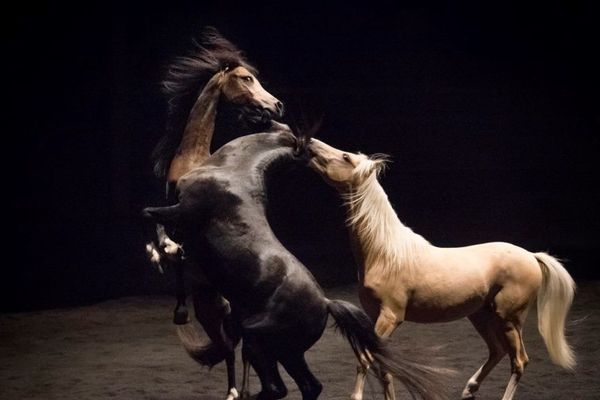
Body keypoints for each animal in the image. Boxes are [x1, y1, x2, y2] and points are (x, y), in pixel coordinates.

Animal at [141, 128, 450, 400]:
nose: (318, 148)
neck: (232, 172)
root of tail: (326, 303)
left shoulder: (181, 212)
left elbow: (150, 215)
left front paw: (161, 254)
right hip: (289, 352)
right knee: (309, 387)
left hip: (258, 339)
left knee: (277, 388)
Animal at [146, 27, 284, 400]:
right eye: (246, 78)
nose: (276, 105)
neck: (195, 159)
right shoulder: (170, 207)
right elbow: (162, 236)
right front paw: (163, 254)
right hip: (213, 309)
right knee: (231, 346)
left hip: (230, 310)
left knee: (240, 348)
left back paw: (241, 391)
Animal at [308, 138, 580, 400]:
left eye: (345, 156)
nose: (310, 142)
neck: (384, 254)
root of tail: (531, 256)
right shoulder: (376, 317)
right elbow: (385, 369)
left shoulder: (390, 317)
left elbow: (365, 360)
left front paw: (355, 396)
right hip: (481, 315)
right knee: (497, 350)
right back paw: (469, 389)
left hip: (509, 319)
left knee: (519, 361)